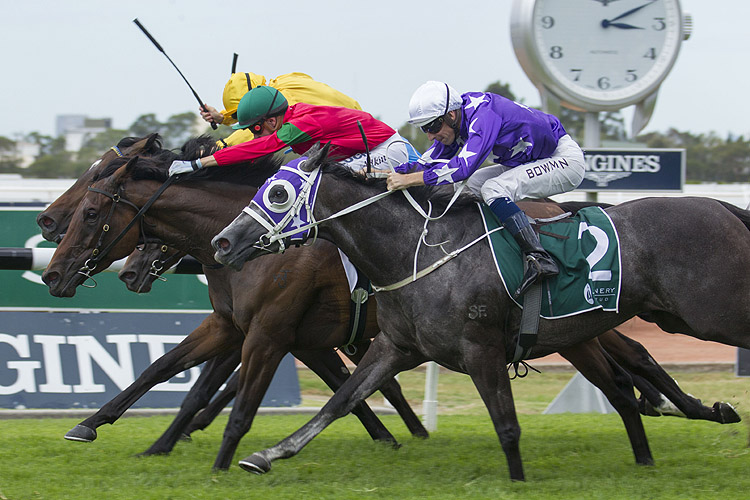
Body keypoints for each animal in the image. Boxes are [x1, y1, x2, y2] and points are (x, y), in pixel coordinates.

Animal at [210, 145, 750, 480]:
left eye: (278, 192)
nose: (223, 242)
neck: (418, 251)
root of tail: (723, 206)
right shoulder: (396, 347)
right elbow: (340, 401)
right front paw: (265, 455)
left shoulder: (481, 348)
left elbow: (507, 426)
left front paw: (518, 481)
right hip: (621, 326)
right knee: (622, 386)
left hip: (713, 314)